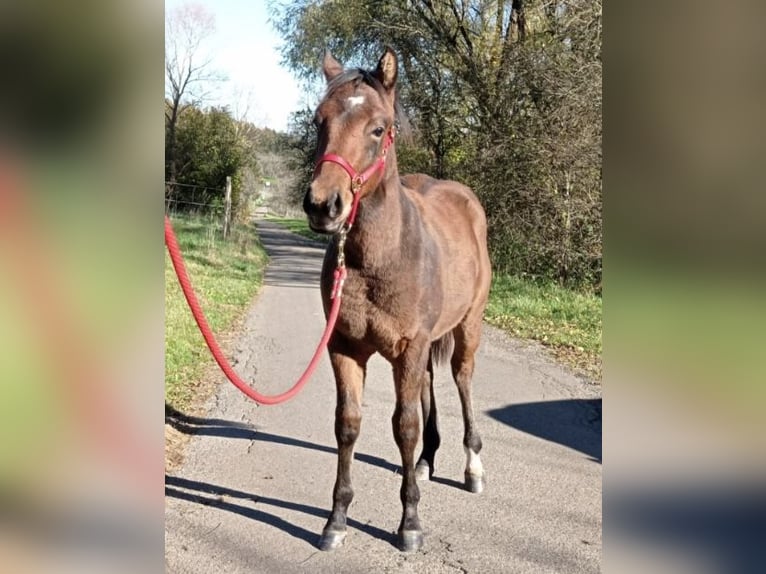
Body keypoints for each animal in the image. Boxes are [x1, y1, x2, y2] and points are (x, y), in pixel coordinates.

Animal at [304, 49, 496, 552]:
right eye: (318, 121)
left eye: (378, 128)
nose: (322, 205)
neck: (377, 258)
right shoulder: (345, 349)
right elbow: (348, 424)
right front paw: (336, 519)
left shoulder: (407, 349)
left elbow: (403, 426)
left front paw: (410, 523)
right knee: (429, 385)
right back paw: (428, 460)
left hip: (468, 326)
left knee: (462, 380)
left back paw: (472, 467)